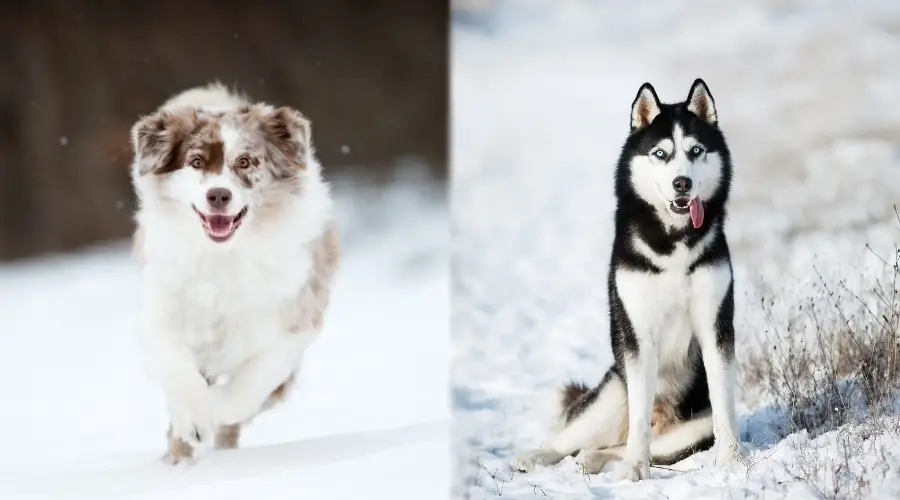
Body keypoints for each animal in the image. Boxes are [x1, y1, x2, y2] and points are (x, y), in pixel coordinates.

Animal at [126, 83, 338, 464]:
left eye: (246, 162)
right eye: (196, 162)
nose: (218, 195)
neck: (222, 256)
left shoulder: (294, 322)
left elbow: (249, 386)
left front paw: (214, 410)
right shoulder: (161, 307)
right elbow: (175, 366)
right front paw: (193, 421)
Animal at [510, 79, 740, 480]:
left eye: (695, 150)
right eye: (661, 153)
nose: (683, 183)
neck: (673, 242)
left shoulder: (715, 326)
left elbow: (725, 405)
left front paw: (732, 462)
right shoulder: (638, 334)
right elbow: (638, 419)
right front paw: (636, 471)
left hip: (690, 431)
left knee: (612, 447)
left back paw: (593, 459)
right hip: (613, 390)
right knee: (569, 440)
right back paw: (535, 456)